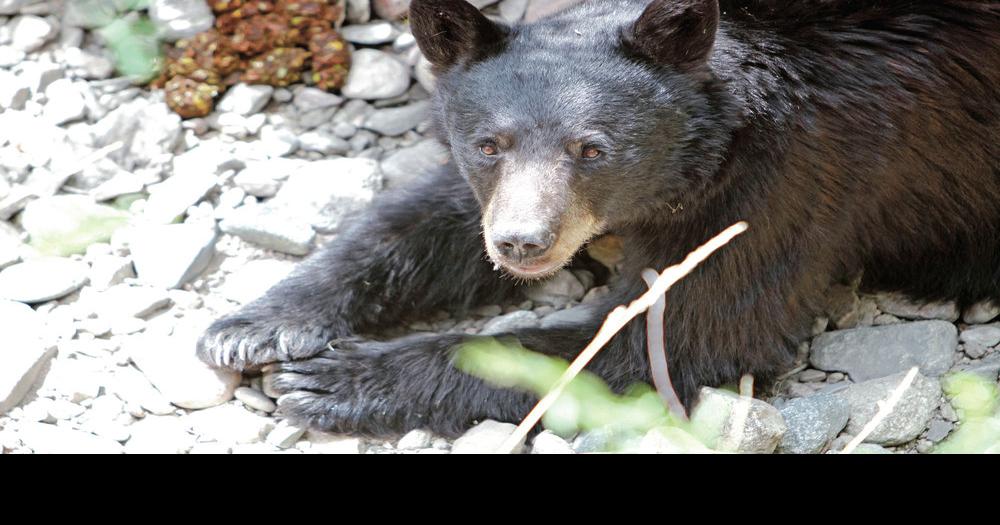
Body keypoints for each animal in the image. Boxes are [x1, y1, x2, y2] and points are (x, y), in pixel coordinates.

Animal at [195, 0, 1000, 434]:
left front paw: (338, 380)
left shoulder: (793, 175)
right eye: (489, 143)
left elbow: (677, 333)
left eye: (593, 148)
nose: (522, 243)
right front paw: (256, 324)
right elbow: (425, 220)